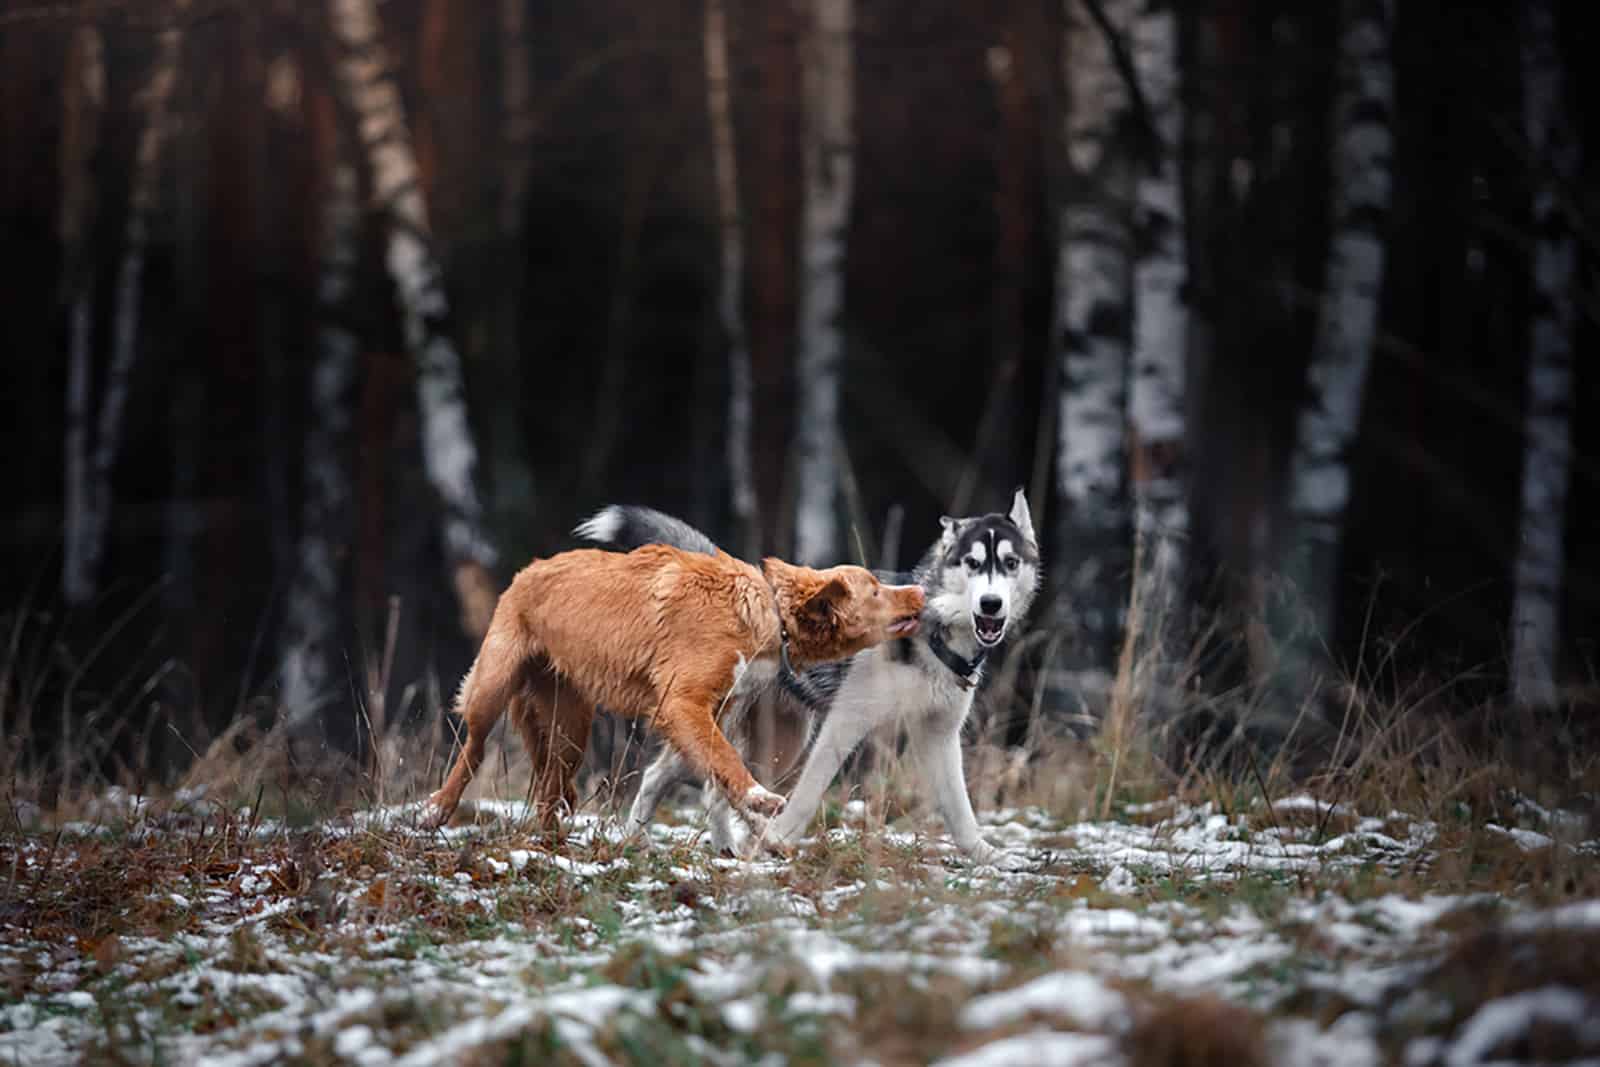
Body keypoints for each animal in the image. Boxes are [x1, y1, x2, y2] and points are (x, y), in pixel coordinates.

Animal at [422, 547, 928, 831]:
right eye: (876, 589)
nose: (921, 592)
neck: (766, 612)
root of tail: (527, 570)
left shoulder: (713, 712)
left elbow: (717, 772)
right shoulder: (681, 705)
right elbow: (727, 759)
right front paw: (759, 800)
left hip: (570, 726)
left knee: (549, 789)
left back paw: (551, 846)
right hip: (493, 687)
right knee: (474, 749)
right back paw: (437, 810)